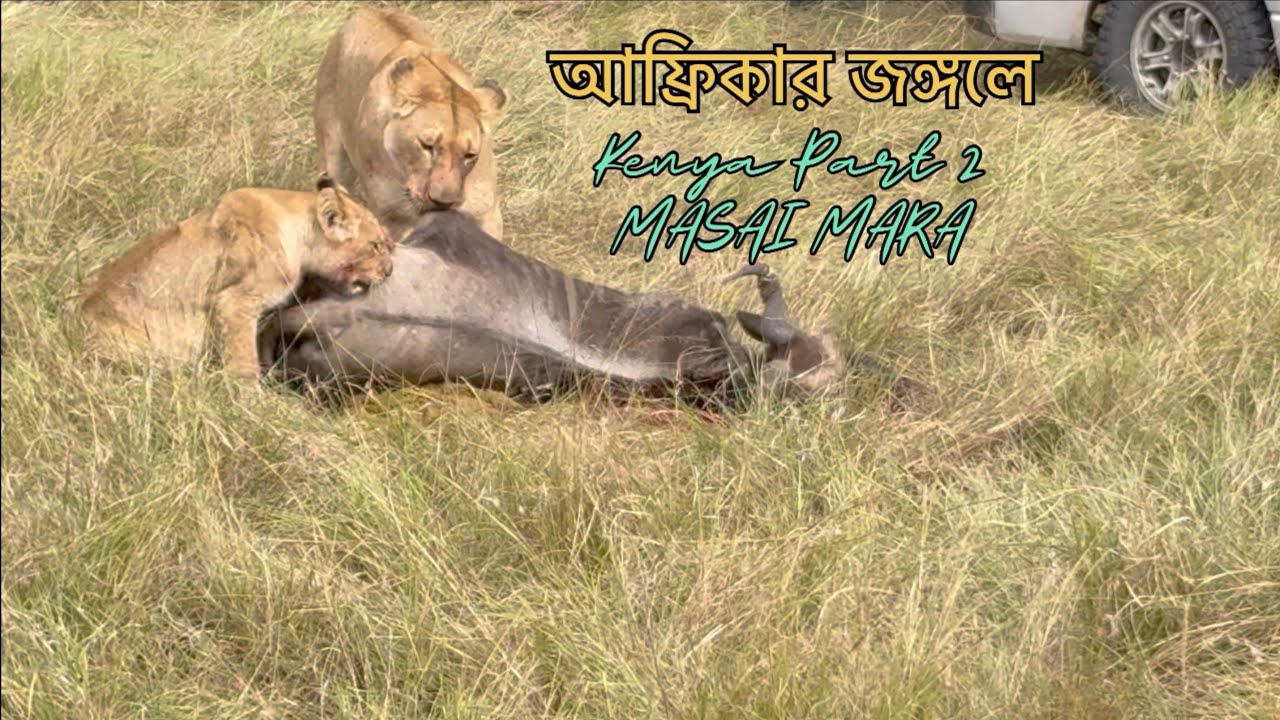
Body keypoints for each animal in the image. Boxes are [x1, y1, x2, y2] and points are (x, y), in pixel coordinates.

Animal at [314, 7, 509, 241]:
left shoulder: (488, 214)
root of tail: (371, 9)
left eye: (470, 155)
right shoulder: (393, 218)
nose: (443, 203)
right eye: (426, 145)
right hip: (335, 160)